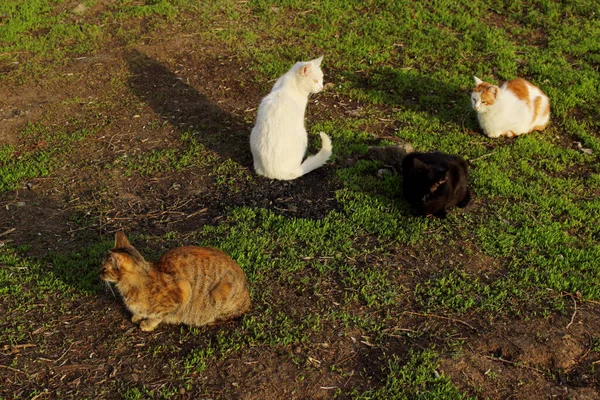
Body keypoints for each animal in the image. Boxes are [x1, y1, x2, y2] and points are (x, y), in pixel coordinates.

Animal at [99, 231, 250, 332]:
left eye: (104, 268)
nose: (99, 273)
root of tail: (247, 295)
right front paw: (138, 316)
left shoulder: (183, 290)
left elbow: (159, 315)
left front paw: (147, 324)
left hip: (219, 293)